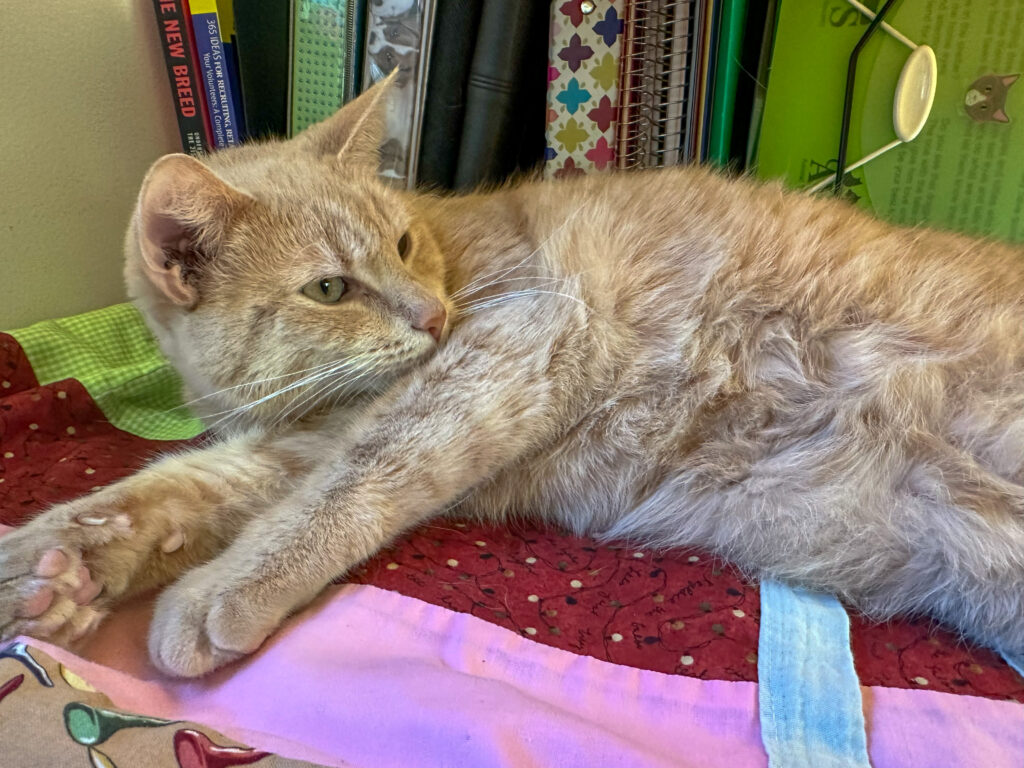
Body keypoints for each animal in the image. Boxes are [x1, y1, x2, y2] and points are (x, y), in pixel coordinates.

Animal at [2, 76, 1024, 679]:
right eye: (331, 288)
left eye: (403, 244)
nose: (430, 315)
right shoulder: (288, 442)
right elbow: (162, 490)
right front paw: (53, 568)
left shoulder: (513, 341)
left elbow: (349, 485)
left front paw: (220, 589)